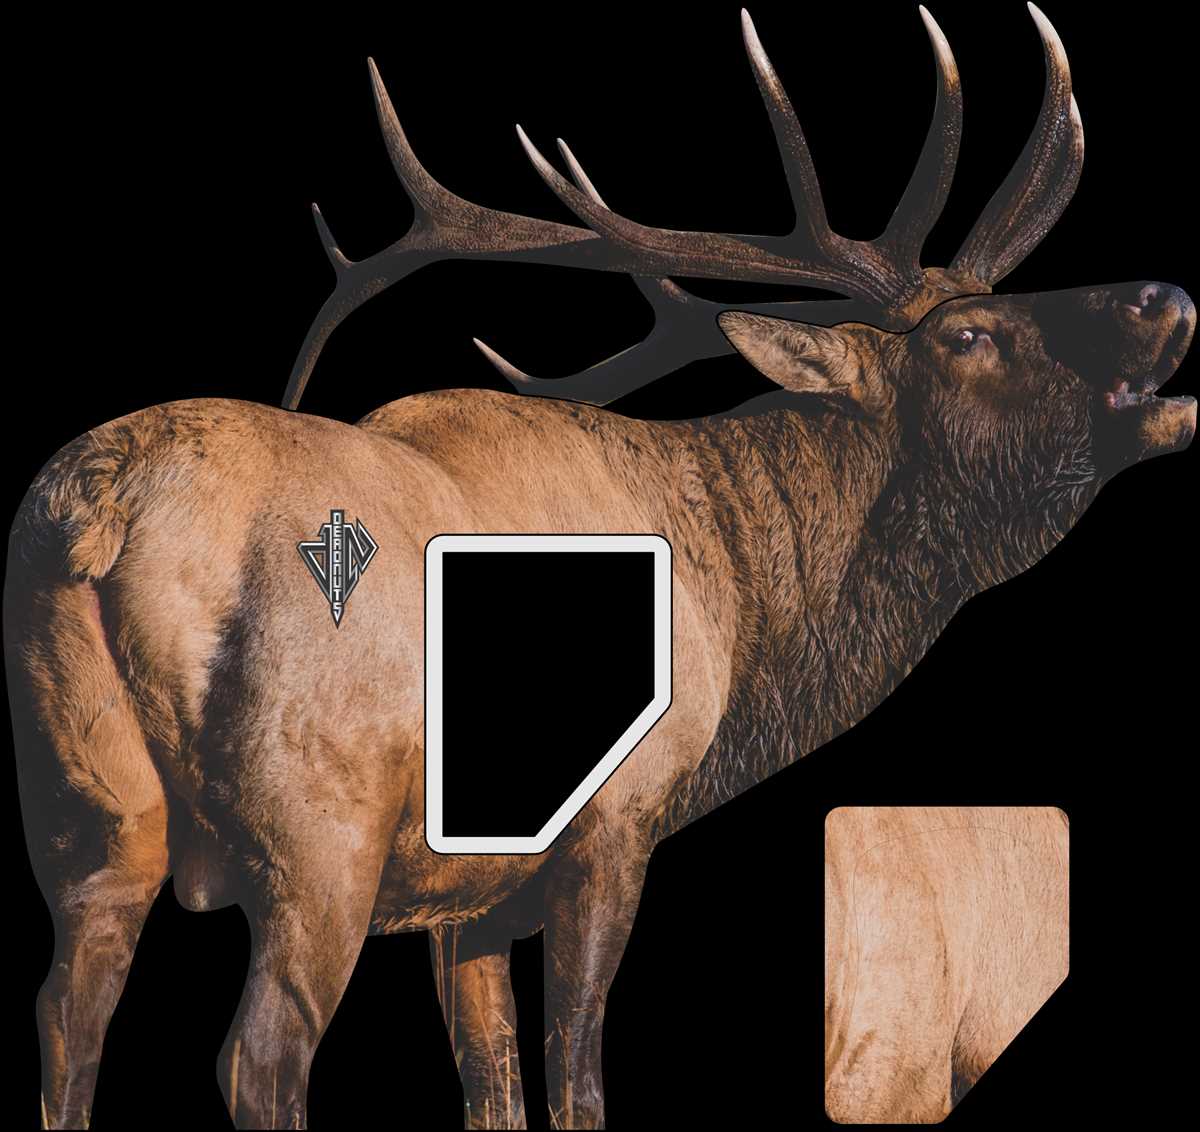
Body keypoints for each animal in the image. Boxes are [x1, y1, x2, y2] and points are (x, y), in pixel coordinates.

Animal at [5, 5, 1193, 1128]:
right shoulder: (613, 824)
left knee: (64, 1017)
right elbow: (577, 1075)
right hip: (317, 831)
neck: (739, 611)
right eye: (968, 335)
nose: (1165, 298)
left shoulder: (470, 892)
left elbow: (492, 1086)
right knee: (261, 1056)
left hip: (84, 812)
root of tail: (101, 510)